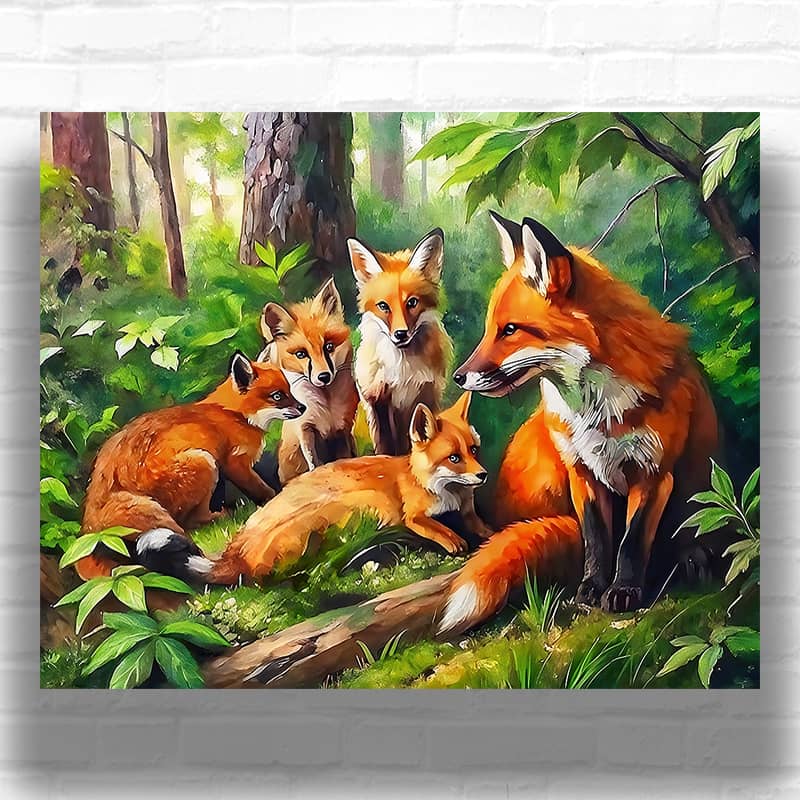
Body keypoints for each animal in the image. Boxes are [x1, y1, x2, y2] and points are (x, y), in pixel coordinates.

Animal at [76, 353, 305, 582]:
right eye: (277, 396)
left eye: (289, 390)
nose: (303, 407)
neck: (234, 414)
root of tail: (90, 525)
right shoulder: (235, 463)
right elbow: (261, 490)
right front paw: (274, 500)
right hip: (204, 463)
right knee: (191, 524)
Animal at [209, 393, 492, 584]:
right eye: (454, 458)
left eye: (473, 450)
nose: (483, 475)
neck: (446, 492)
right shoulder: (411, 513)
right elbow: (430, 525)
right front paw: (452, 538)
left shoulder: (468, 511)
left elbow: (479, 524)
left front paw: (489, 533)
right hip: (375, 502)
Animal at [259, 277, 359, 484]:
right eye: (301, 354)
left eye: (329, 346)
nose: (323, 376)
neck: (326, 408)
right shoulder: (305, 429)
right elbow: (314, 462)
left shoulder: (341, 429)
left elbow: (344, 458)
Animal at [348, 229, 453, 456]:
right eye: (383, 306)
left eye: (412, 302)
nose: (400, 334)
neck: (403, 372)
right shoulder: (377, 399)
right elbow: (387, 447)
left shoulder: (426, 395)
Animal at [439, 211, 718, 633]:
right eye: (491, 329)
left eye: (510, 330)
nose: (458, 377)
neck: (596, 412)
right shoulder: (580, 469)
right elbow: (597, 539)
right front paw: (592, 588)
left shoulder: (653, 473)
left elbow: (631, 542)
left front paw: (624, 592)